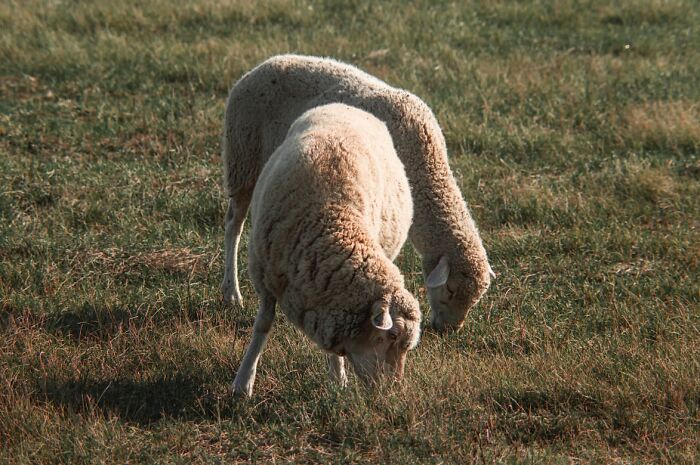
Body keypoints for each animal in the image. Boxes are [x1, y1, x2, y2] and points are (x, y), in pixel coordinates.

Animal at [221, 54, 493, 331]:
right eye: (450, 290)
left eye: (475, 300)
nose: (447, 330)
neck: (424, 159)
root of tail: (262, 65)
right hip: (243, 159)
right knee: (234, 224)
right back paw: (232, 293)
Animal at [232, 103, 422, 396]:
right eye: (391, 335)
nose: (392, 391)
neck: (333, 219)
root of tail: (345, 106)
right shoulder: (265, 275)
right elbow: (262, 324)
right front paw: (243, 382)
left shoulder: (328, 303)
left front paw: (338, 377)